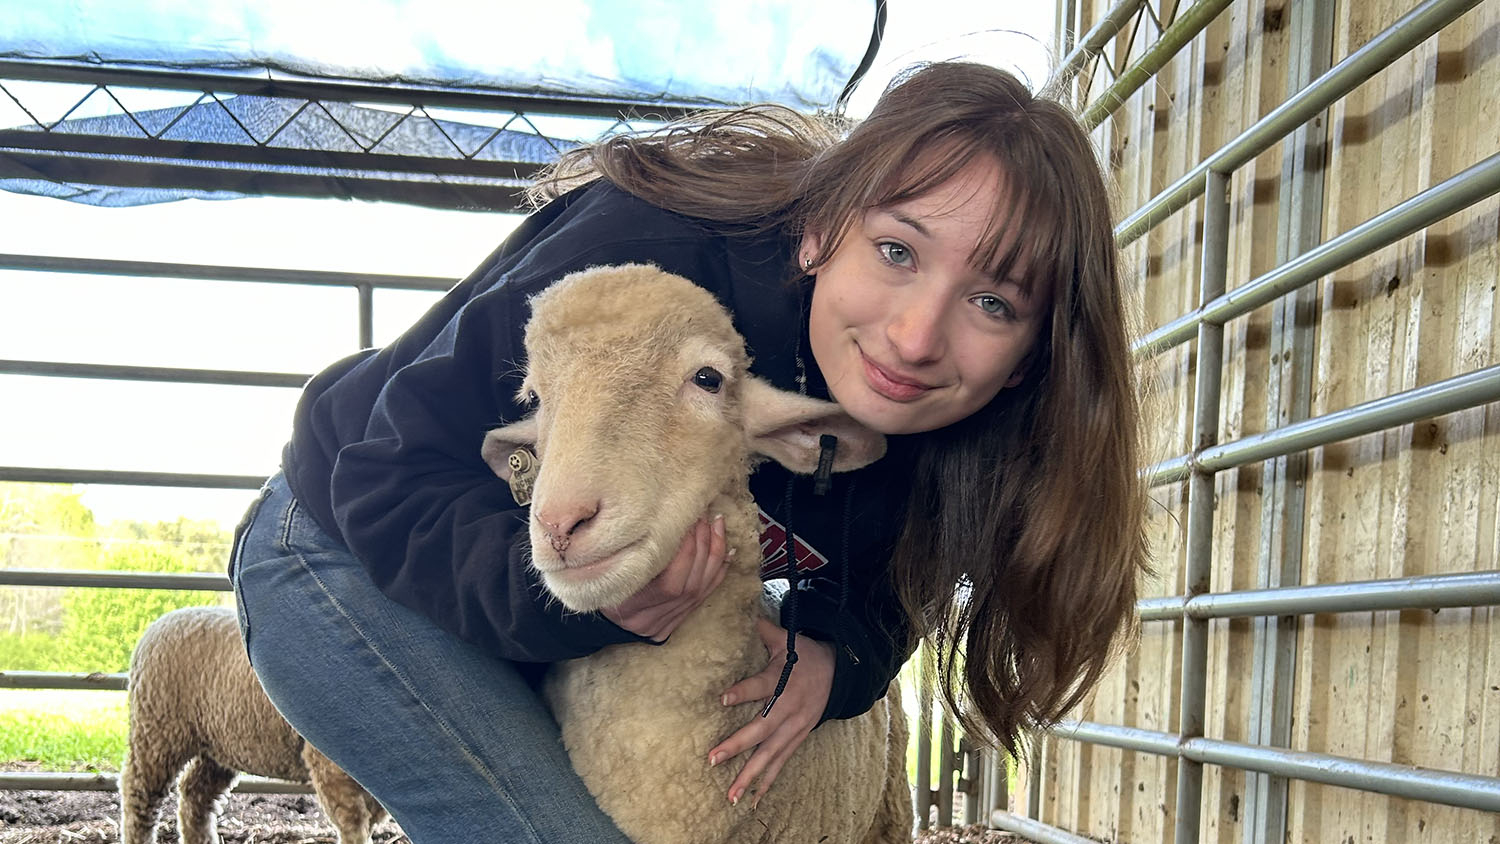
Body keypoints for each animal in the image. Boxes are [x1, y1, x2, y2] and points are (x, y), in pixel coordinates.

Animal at [119, 605, 387, 844]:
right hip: (157, 731)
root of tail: (157, 625)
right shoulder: (329, 766)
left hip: (216, 746)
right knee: (138, 794)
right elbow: (354, 824)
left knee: (195, 794)